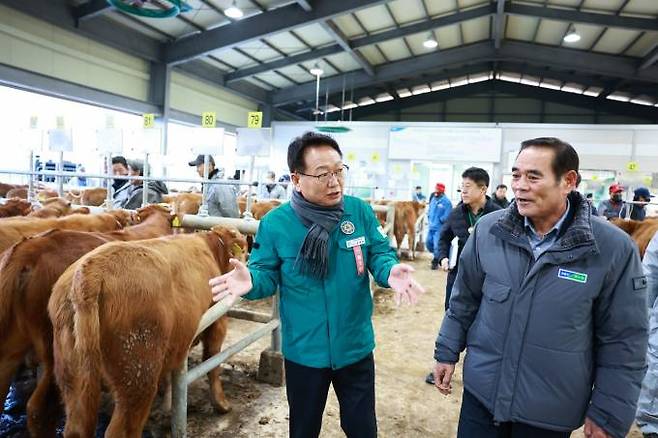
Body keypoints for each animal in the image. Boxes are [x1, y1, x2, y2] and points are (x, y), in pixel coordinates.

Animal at [47, 228, 245, 436]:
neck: (210, 247)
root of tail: (90, 272)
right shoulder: (217, 320)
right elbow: (212, 361)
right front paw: (222, 404)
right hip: (138, 375)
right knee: (122, 429)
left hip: (72, 378)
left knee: (75, 427)